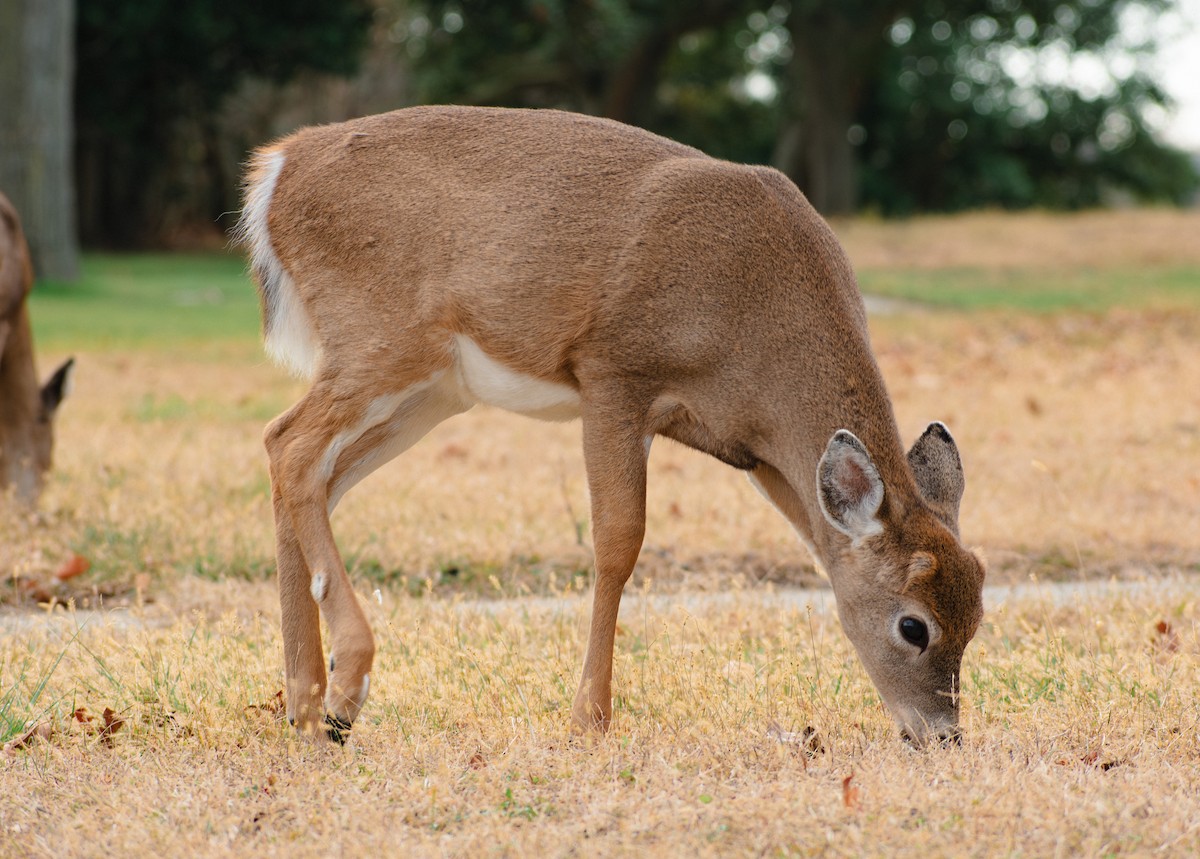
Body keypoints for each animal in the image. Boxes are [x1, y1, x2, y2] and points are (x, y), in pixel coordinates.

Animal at [236, 105, 985, 747]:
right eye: (913, 625)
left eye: (978, 615)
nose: (941, 735)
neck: (755, 326)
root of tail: (276, 169)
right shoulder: (614, 373)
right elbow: (620, 541)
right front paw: (590, 718)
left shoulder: (759, 454)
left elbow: (814, 543)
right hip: (380, 337)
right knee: (292, 445)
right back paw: (344, 693)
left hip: (432, 388)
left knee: (304, 466)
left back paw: (305, 706)